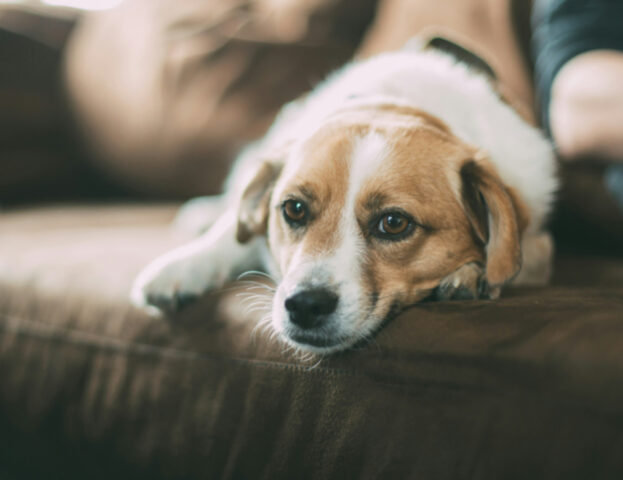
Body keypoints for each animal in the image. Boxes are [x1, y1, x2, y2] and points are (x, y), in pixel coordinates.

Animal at [130, 36, 556, 352]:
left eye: (394, 223)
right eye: (294, 209)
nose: (304, 306)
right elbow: (231, 235)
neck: (398, 104)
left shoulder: (537, 239)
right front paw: (181, 268)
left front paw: (469, 274)